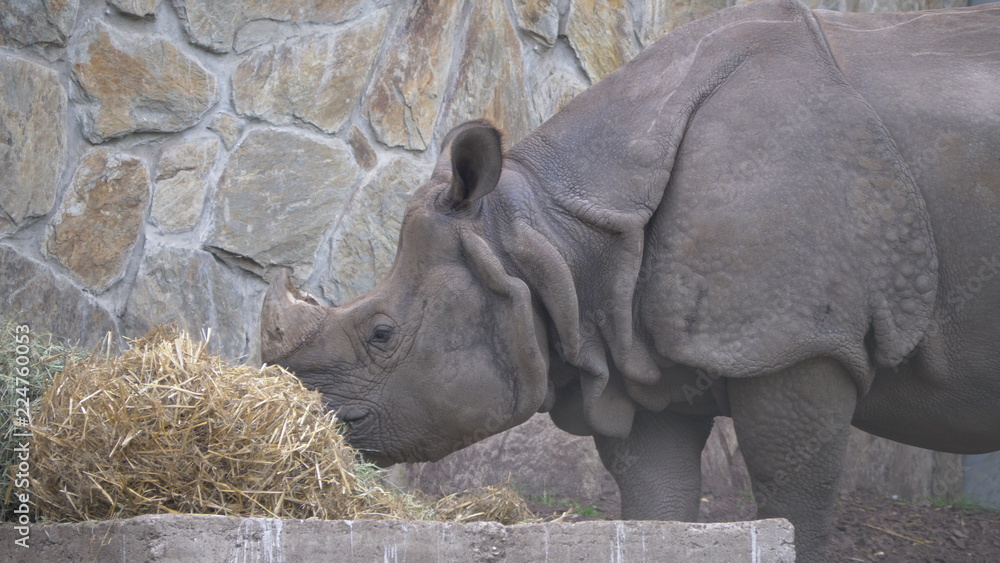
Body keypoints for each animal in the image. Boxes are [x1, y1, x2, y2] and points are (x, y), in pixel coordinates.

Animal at [260, 0, 1000, 560]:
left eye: (382, 333)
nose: (319, 419)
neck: (547, 230)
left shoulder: (799, 340)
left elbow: (795, 506)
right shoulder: (638, 359)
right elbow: (656, 506)